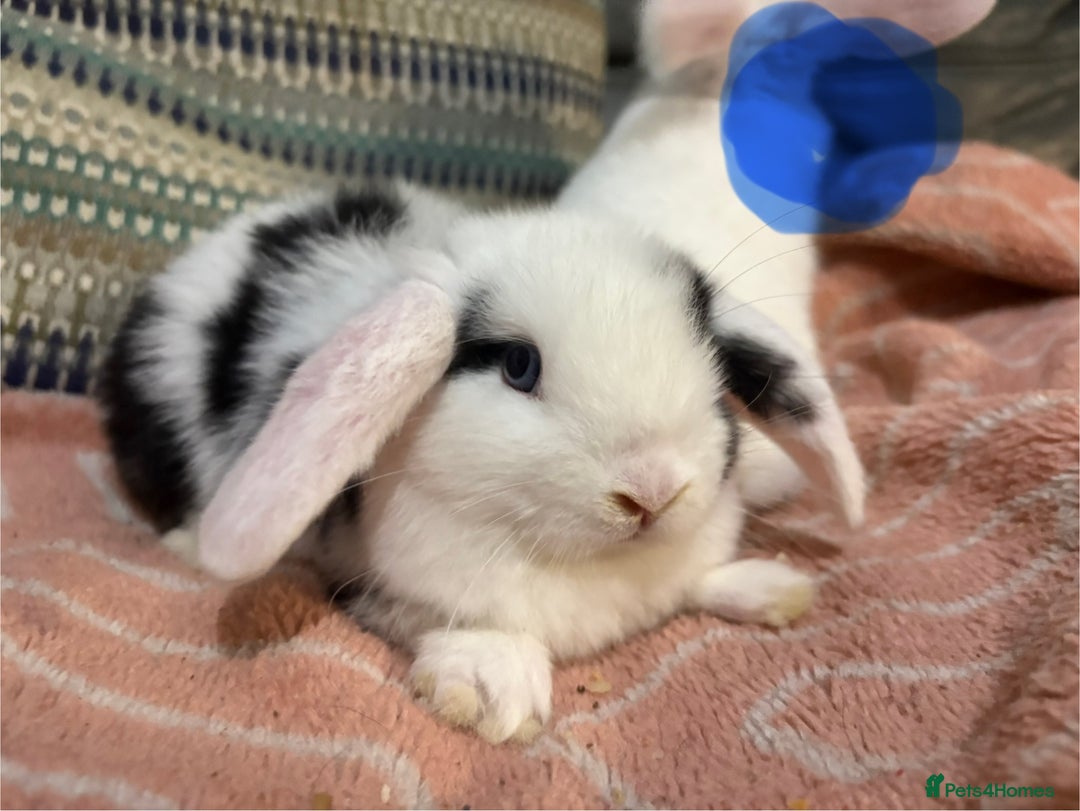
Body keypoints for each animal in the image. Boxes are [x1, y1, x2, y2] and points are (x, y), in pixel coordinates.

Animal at [98, 176, 865, 744]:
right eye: (519, 366)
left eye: (709, 361)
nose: (650, 492)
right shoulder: (394, 586)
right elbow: (467, 625)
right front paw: (495, 691)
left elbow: (699, 580)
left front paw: (775, 588)